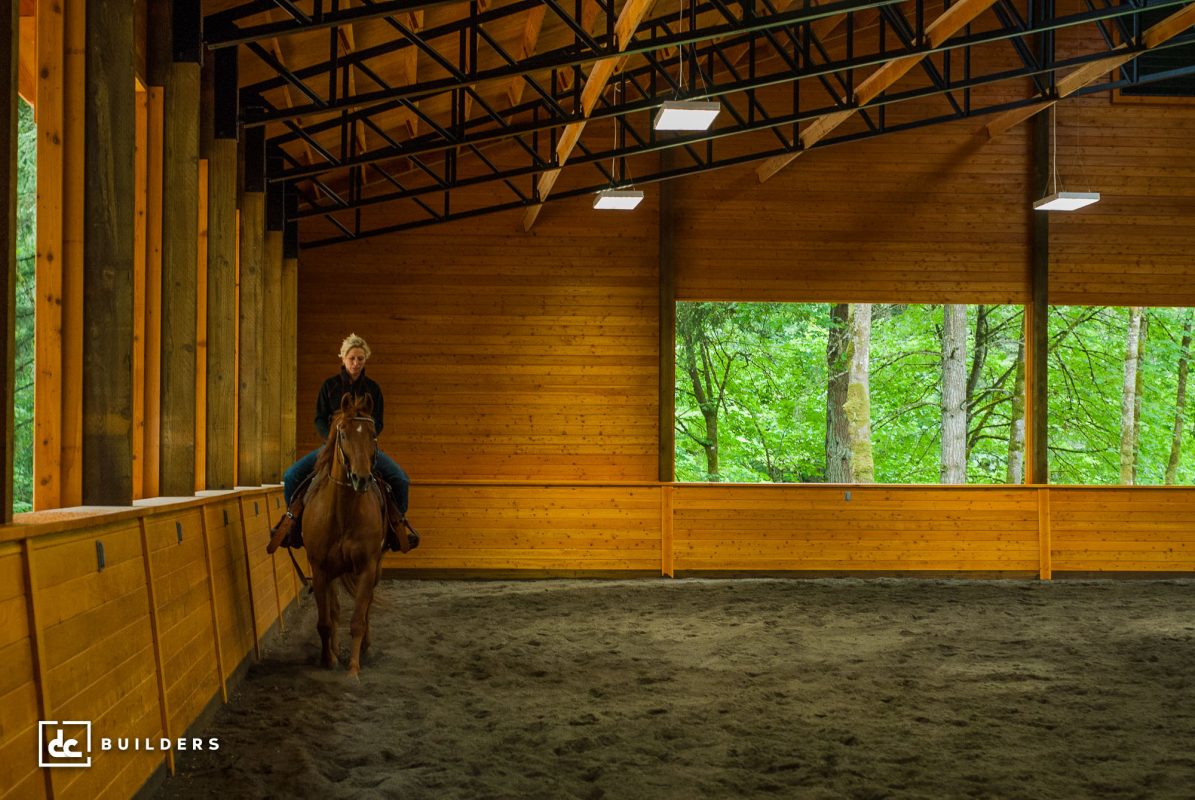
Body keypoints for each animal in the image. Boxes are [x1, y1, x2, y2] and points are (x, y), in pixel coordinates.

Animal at [302, 392, 387, 677]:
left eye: (373, 434)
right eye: (342, 433)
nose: (361, 478)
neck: (343, 515)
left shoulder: (367, 567)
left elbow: (358, 620)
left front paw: (352, 669)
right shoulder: (319, 569)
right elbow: (325, 621)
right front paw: (328, 659)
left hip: (375, 569)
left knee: (367, 608)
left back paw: (366, 648)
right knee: (335, 611)